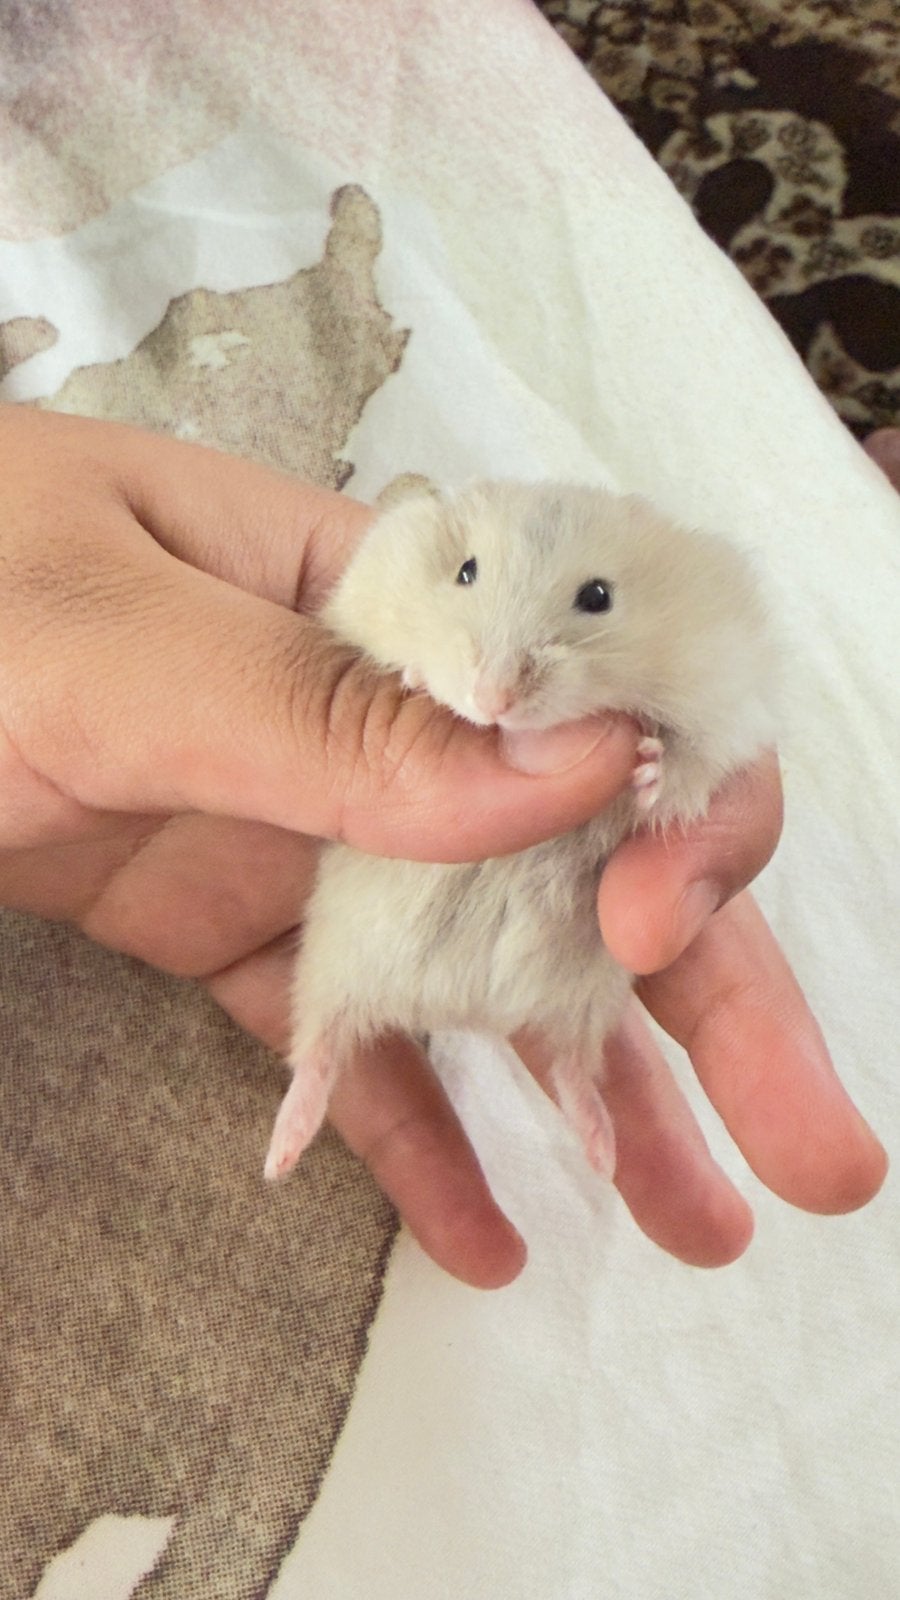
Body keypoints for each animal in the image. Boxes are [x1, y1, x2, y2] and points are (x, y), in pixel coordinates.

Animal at [265, 482, 778, 1184]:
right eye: (465, 571)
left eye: (598, 596)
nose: (492, 700)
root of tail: (464, 1012)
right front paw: (415, 682)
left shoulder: (726, 703)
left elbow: (688, 769)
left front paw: (646, 768)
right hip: (331, 953)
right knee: (318, 1045)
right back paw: (279, 1157)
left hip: (592, 997)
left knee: (572, 1066)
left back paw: (602, 1154)